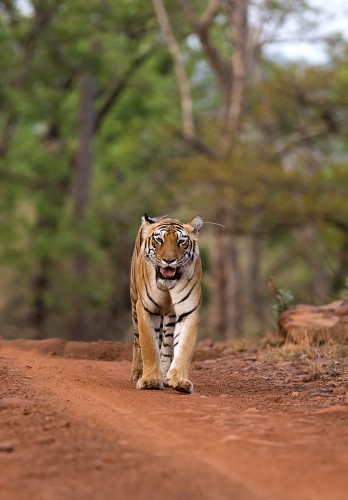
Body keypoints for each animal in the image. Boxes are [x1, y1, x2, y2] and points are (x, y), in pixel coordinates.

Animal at [129, 213, 203, 392]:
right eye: (159, 240)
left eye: (181, 241)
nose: (169, 260)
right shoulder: (146, 309)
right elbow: (149, 345)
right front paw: (150, 380)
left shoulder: (188, 311)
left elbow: (184, 347)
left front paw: (179, 380)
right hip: (134, 302)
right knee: (137, 341)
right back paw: (137, 373)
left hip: (170, 317)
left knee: (167, 345)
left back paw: (165, 374)